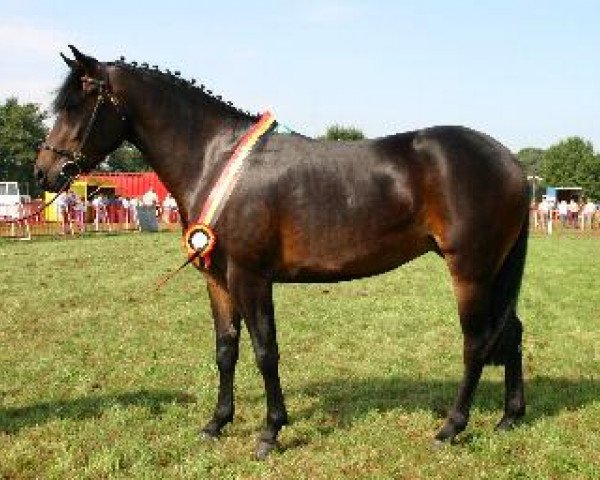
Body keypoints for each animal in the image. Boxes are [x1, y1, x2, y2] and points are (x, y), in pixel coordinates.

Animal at [35, 47, 528, 460]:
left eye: (77, 105)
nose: (44, 172)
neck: (214, 157)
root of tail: (511, 162)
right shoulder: (218, 280)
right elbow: (226, 349)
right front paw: (216, 423)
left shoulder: (250, 276)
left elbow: (265, 350)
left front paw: (270, 432)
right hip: (493, 273)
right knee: (511, 333)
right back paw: (509, 417)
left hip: (470, 272)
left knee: (476, 343)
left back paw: (451, 428)